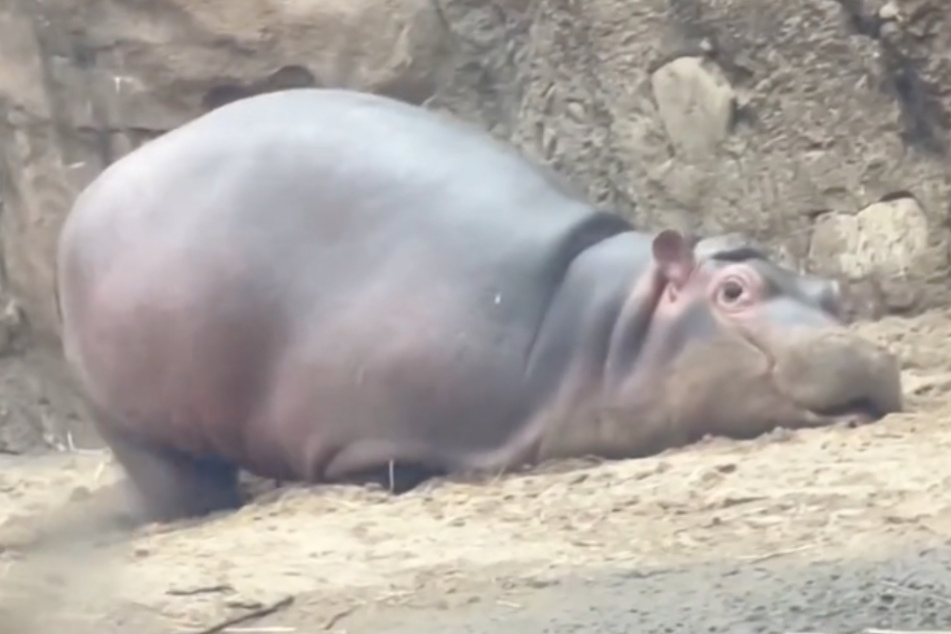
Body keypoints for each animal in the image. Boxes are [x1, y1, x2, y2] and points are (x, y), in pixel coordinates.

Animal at [55, 86, 904, 520]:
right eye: (733, 291)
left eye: (829, 292)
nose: (870, 356)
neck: (601, 321)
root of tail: (87, 199)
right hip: (135, 423)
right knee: (180, 484)